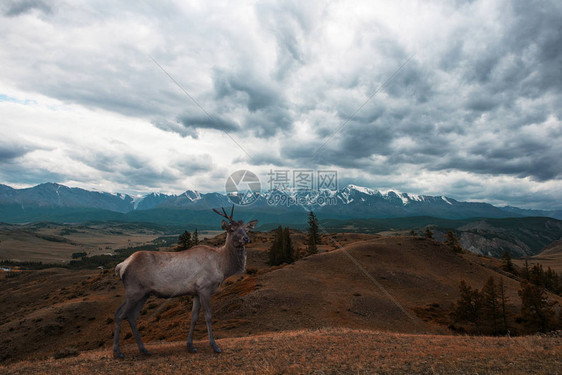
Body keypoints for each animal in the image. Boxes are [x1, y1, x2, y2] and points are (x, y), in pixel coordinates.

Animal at [112, 207, 256, 360]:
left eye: (245, 229)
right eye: (232, 229)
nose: (246, 239)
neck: (222, 267)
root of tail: (121, 266)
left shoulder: (196, 292)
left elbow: (194, 317)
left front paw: (190, 346)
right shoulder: (204, 288)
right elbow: (208, 316)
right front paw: (215, 346)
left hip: (143, 293)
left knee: (132, 316)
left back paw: (143, 349)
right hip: (134, 291)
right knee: (120, 314)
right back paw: (118, 351)